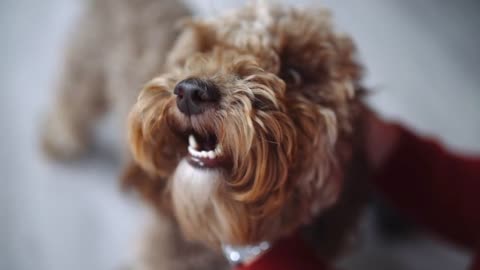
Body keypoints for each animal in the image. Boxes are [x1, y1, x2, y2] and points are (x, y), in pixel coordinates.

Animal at [42, 1, 372, 268]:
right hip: (87, 62)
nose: (191, 92)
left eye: (294, 72)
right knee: (72, 100)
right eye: (205, 50)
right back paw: (59, 140)